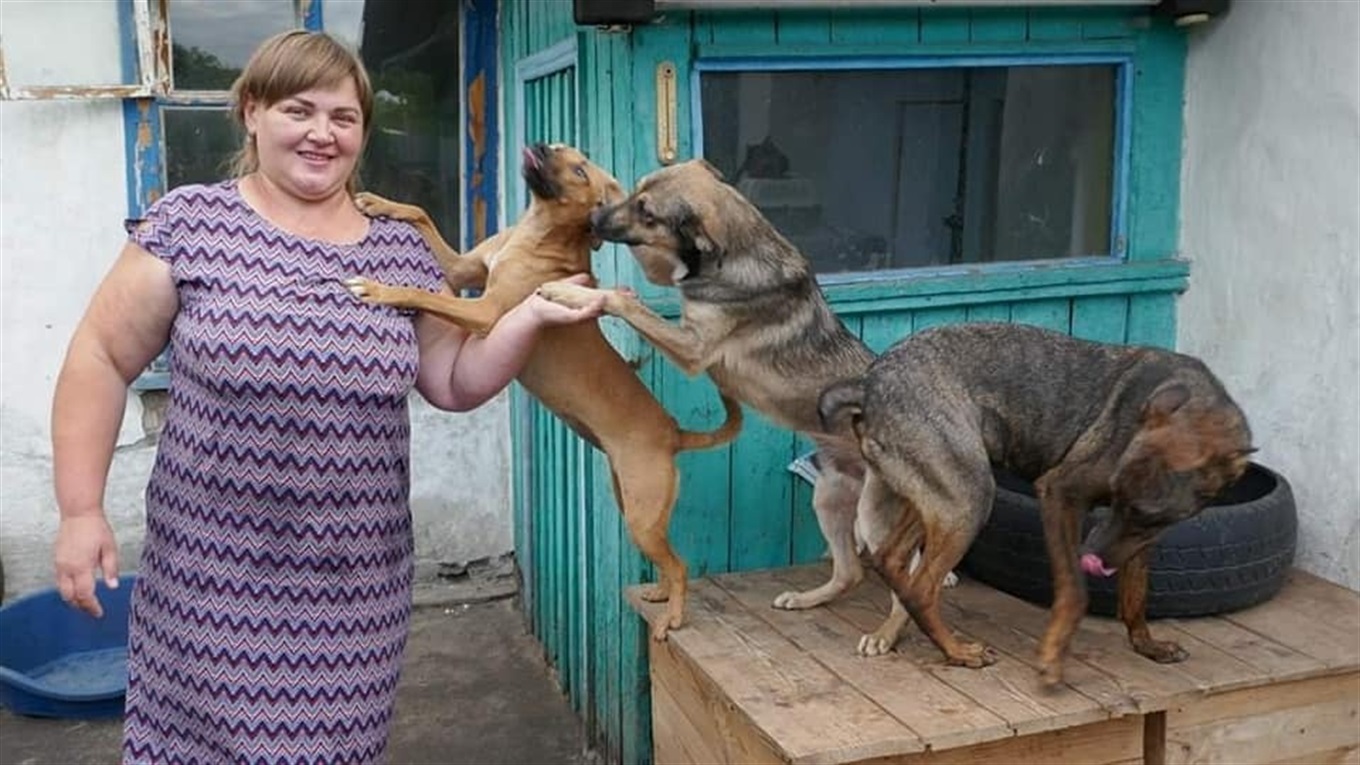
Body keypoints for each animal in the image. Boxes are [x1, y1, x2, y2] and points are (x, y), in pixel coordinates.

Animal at [340, 142, 745, 637]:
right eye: (565, 151)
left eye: (579, 170)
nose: (542, 145)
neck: (536, 232)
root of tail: (673, 432)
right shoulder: (462, 269)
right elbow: (422, 214)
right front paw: (380, 203)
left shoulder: (484, 312)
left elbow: (424, 295)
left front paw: (380, 290)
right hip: (632, 502)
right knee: (669, 562)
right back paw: (660, 595)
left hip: (642, 516)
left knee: (680, 564)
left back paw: (671, 616)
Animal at [816, 321, 1251, 686]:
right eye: (1118, 498)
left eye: (1144, 514)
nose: (1094, 558)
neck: (1198, 403)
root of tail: (870, 381)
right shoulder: (1060, 493)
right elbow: (1075, 593)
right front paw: (1053, 659)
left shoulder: (1137, 538)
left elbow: (1135, 594)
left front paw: (1147, 645)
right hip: (969, 498)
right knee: (921, 588)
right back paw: (958, 652)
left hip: (941, 493)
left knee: (892, 561)